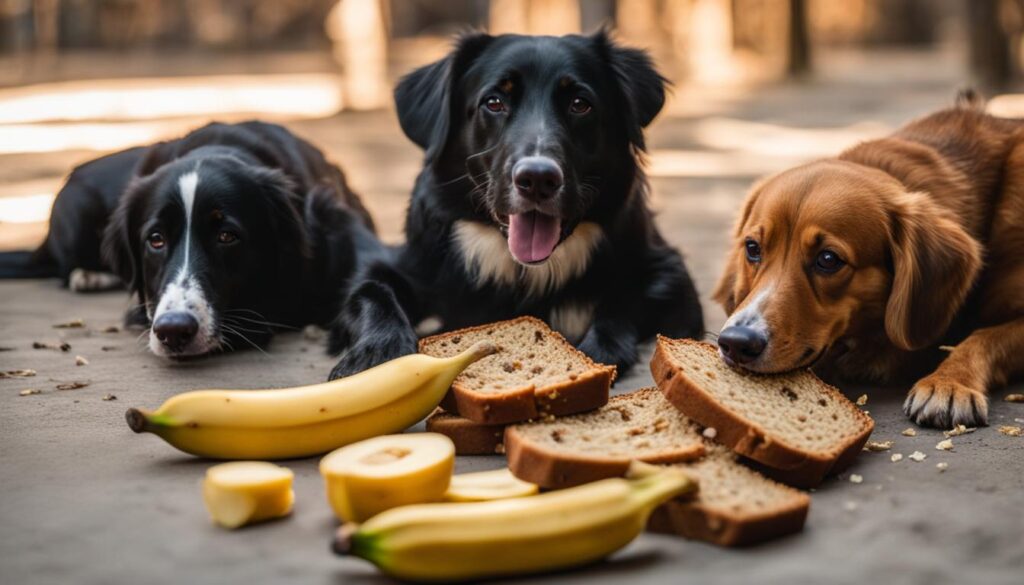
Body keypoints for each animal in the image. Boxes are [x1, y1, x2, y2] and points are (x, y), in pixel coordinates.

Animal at [327, 32, 704, 379]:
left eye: (580, 104)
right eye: (494, 102)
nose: (537, 179)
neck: (524, 270)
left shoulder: (668, 269)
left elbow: (624, 297)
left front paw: (601, 348)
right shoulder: (403, 264)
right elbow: (371, 289)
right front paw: (377, 353)